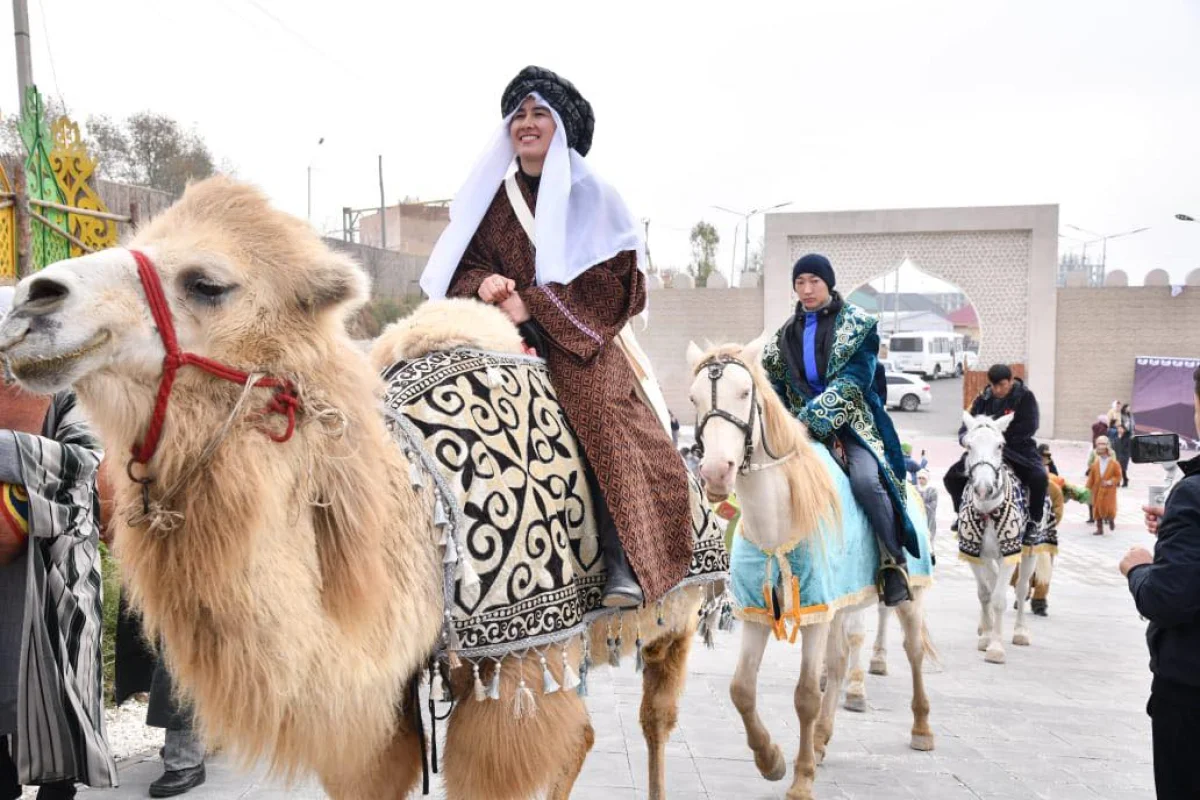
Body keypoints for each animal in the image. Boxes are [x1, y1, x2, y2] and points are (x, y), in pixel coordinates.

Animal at [0, 176, 705, 800]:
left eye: (207, 283)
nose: (30, 301)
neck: (430, 517)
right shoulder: (381, 704)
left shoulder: (517, 659)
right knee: (586, 736)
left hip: (675, 608)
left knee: (655, 716)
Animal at [686, 340, 936, 800]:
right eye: (694, 399)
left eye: (744, 394)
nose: (714, 473)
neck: (778, 520)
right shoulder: (760, 612)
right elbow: (741, 689)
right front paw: (771, 760)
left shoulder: (815, 612)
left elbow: (804, 695)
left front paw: (801, 780)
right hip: (841, 604)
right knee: (838, 664)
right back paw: (820, 739)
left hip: (909, 596)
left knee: (912, 651)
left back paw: (921, 728)